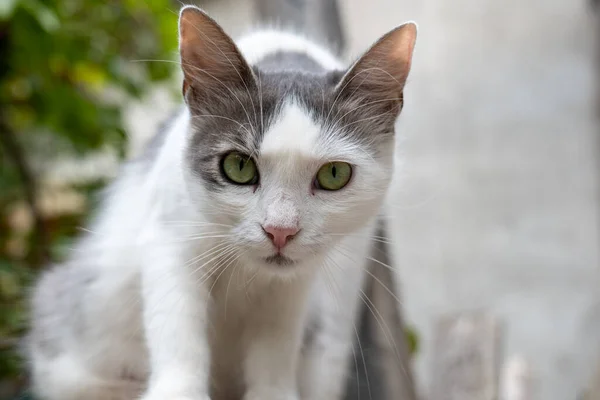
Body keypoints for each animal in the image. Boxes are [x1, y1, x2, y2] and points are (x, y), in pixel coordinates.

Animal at [24, 5, 418, 400]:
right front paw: (179, 389)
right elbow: (177, 322)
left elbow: (276, 341)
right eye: (238, 167)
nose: (280, 230)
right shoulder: (171, 238)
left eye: (334, 174)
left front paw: (272, 391)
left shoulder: (296, 283)